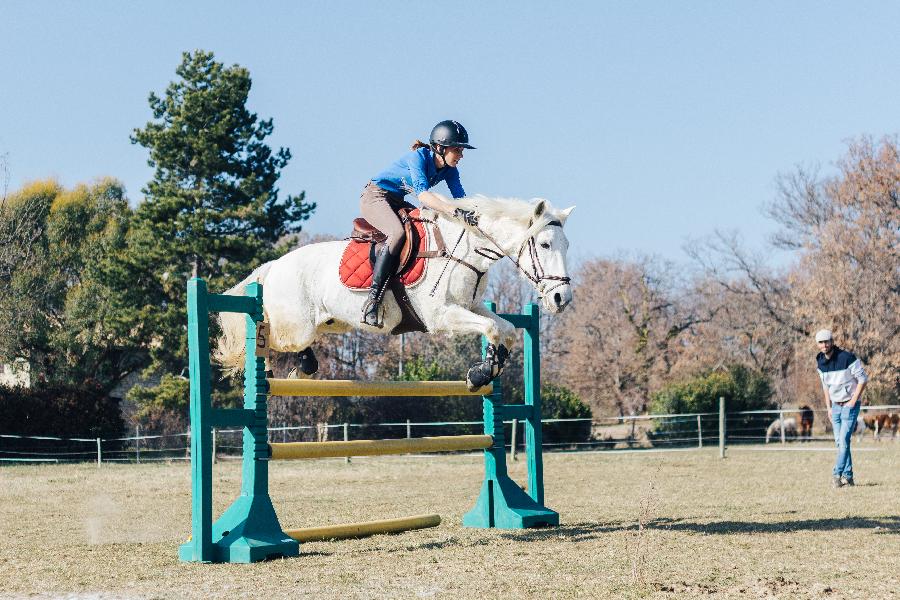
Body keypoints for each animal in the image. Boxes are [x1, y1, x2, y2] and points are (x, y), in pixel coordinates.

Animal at [214, 193, 572, 390]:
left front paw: (486, 370)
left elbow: (505, 328)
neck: (466, 249)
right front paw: (482, 372)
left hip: (325, 324)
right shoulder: (441, 316)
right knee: (266, 336)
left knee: (303, 353)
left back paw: (300, 370)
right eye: (544, 244)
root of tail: (273, 266)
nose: (562, 299)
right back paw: (267, 370)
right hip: (295, 326)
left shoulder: (471, 307)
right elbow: (492, 328)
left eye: (567, 245)